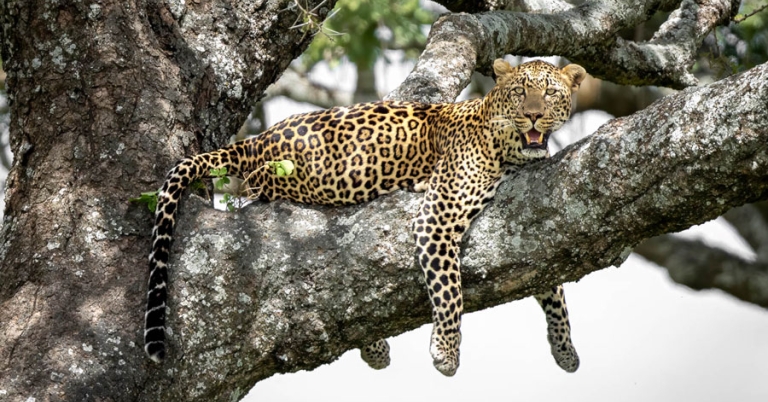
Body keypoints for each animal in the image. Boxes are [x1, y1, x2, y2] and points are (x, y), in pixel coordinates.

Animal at [144, 58, 587, 377]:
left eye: (549, 93)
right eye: (520, 92)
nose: (534, 116)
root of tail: (255, 141)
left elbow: (554, 286)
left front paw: (565, 348)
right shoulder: (438, 216)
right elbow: (450, 290)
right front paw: (446, 351)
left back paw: (373, 348)